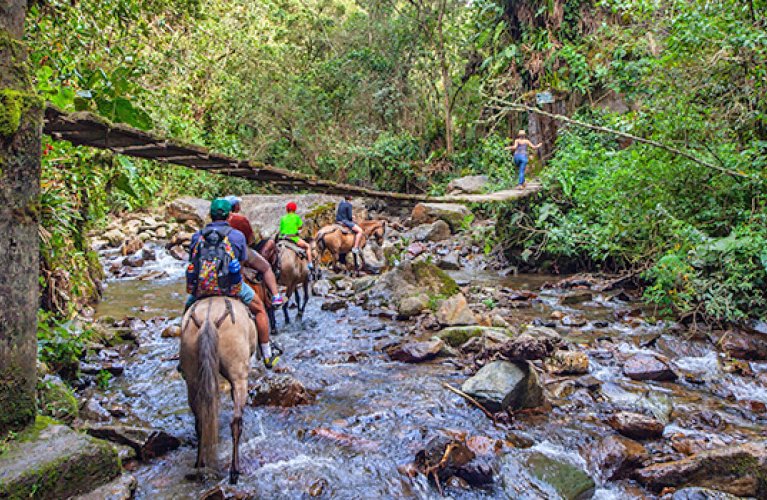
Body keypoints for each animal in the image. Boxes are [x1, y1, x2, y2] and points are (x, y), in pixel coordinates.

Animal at [178, 296, 256, 484]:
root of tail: (208, 320)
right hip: (239, 375)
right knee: (236, 423)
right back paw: (234, 471)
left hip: (193, 378)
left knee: (200, 422)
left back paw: (200, 464)